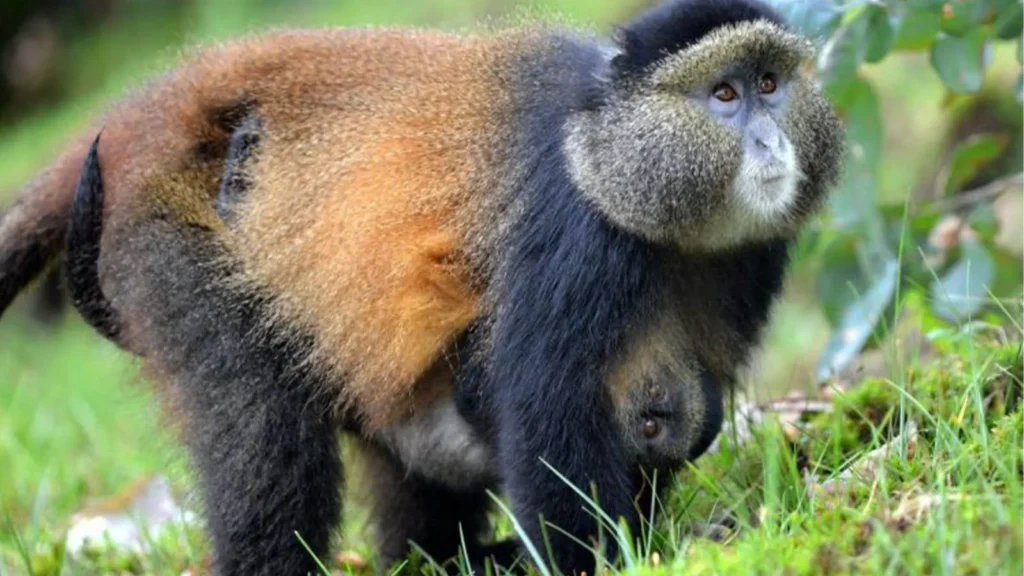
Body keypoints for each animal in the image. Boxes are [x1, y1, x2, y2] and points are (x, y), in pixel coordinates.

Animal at [0, 0, 844, 574]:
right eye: (724, 95)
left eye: (771, 83)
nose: (769, 142)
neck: (610, 154)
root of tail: (152, 109)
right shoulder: (576, 236)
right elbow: (546, 412)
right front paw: (608, 558)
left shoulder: (750, 259)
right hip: (166, 242)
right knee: (267, 448)